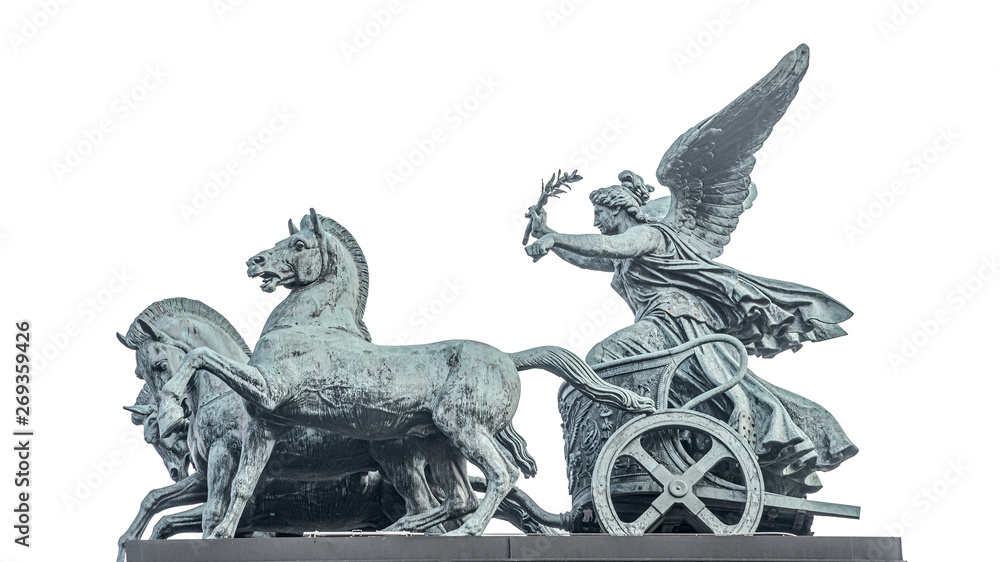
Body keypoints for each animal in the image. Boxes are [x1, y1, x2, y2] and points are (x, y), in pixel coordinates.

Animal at [156, 207, 656, 532]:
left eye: (298, 244)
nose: (253, 261)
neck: (309, 325)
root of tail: (510, 357)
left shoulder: (270, 389)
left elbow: (201, 357)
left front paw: (168, 411)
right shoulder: (265, 423)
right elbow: (241, 486)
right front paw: (221, 534)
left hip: (460, 429)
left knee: (499, 478)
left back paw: (465, 531)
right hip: (438, 442)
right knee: (455, 497)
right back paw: (400, 531)